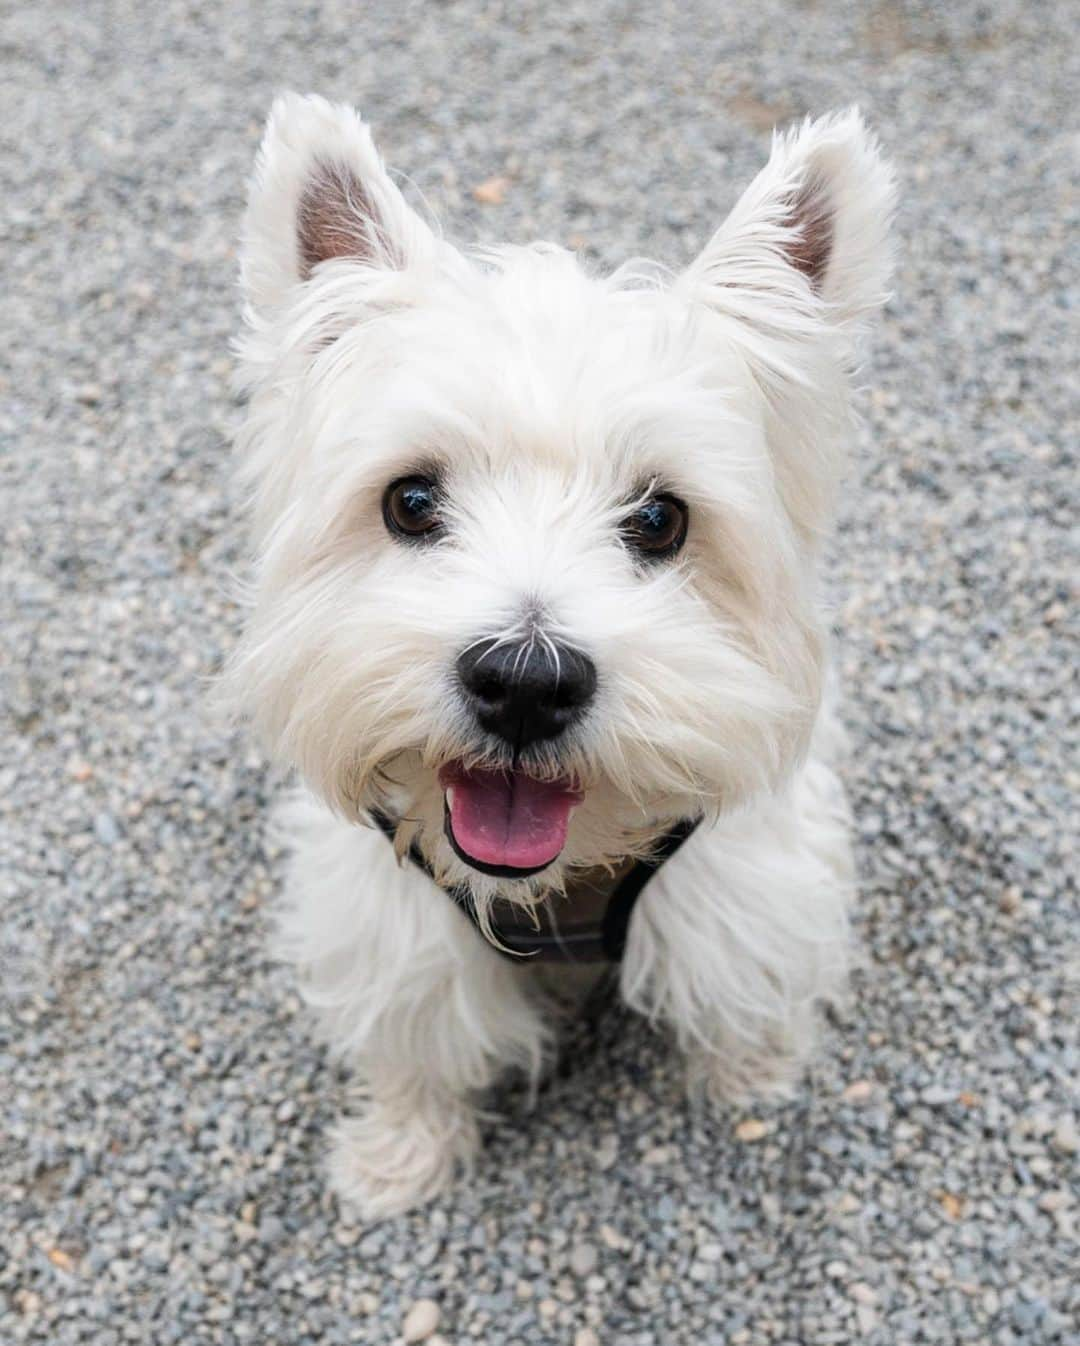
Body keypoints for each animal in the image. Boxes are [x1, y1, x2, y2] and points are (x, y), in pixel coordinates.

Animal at [224, 89, 894, 1216]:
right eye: (411, 499)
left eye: (662, 518)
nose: (524, 684)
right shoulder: (398, 920)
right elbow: (420, 1036)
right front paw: (398, 1157)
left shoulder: (741, 874)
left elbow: (742, 979)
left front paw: (753, 1079)